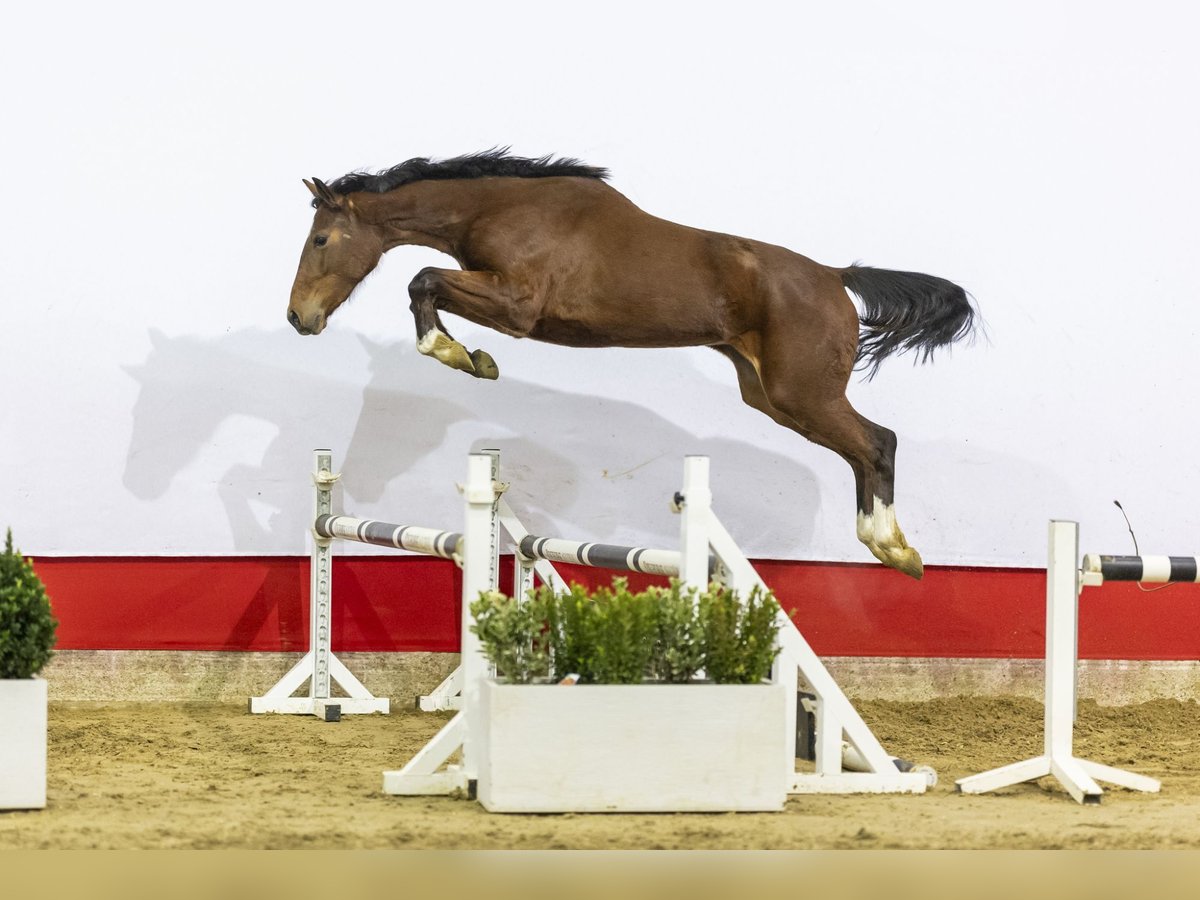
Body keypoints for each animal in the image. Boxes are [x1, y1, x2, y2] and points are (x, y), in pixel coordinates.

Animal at [288, 151, 974, 580]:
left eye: (320, 240)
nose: (299, 318)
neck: (499, 207)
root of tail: (835, 277)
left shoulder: (518, 306)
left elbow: (423, 280)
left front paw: (465, 357)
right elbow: (424, 285)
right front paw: (469, 356)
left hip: (801, 392)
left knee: (877, 443)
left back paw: (893, 548)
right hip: (771, 396)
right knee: (863, 448)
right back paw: (893, 548)